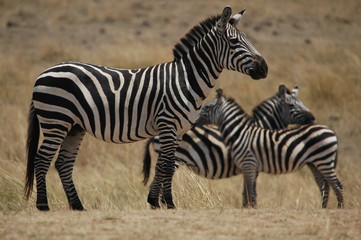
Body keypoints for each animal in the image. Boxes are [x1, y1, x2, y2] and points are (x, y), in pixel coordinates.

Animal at [24, 6, 268, 210]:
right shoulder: (168, 124)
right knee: (42, 159)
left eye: (248, 39)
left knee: (63, 163)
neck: (186, 79)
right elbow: (168, 165)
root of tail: (43, 72)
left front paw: (155, 202)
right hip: (56, 120)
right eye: (234, 41)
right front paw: (169, 204)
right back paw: (43, 206)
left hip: (74, 126)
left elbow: (163, 165)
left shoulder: (179, 130)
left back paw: (77, 206)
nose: (264, 69)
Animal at [194, 88, 344, 208]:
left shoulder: (249, 164)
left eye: (207, 107)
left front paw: (251, 209)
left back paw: (339, 208)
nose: (193, 121)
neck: (240, 133)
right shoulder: (250, 167)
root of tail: (330, 130)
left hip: (323, 160)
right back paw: (323, 209)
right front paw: (250, 208)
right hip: (316, 163)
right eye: (291, 105)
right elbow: (250, 191)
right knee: (325, 186)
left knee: (336, 185)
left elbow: (250, 191)